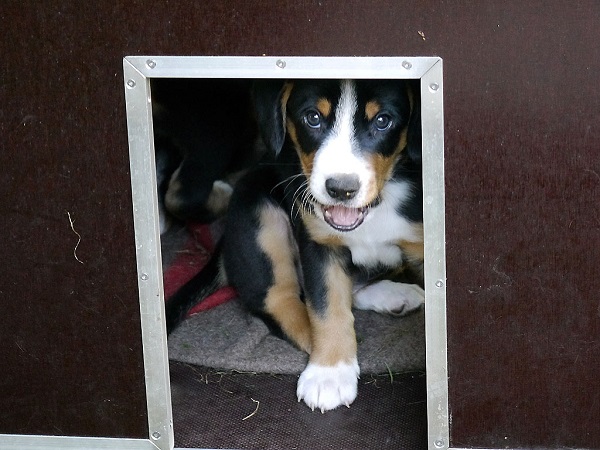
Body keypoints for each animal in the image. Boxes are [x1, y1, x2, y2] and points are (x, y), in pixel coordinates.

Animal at [166, 78, 424, 412]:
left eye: (383, 121)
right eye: (312, 118)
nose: (341, 189)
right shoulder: (317, 240)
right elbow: (326, 307)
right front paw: (330, 372)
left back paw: (395, 295)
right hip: (259, 212)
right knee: (280, 301)